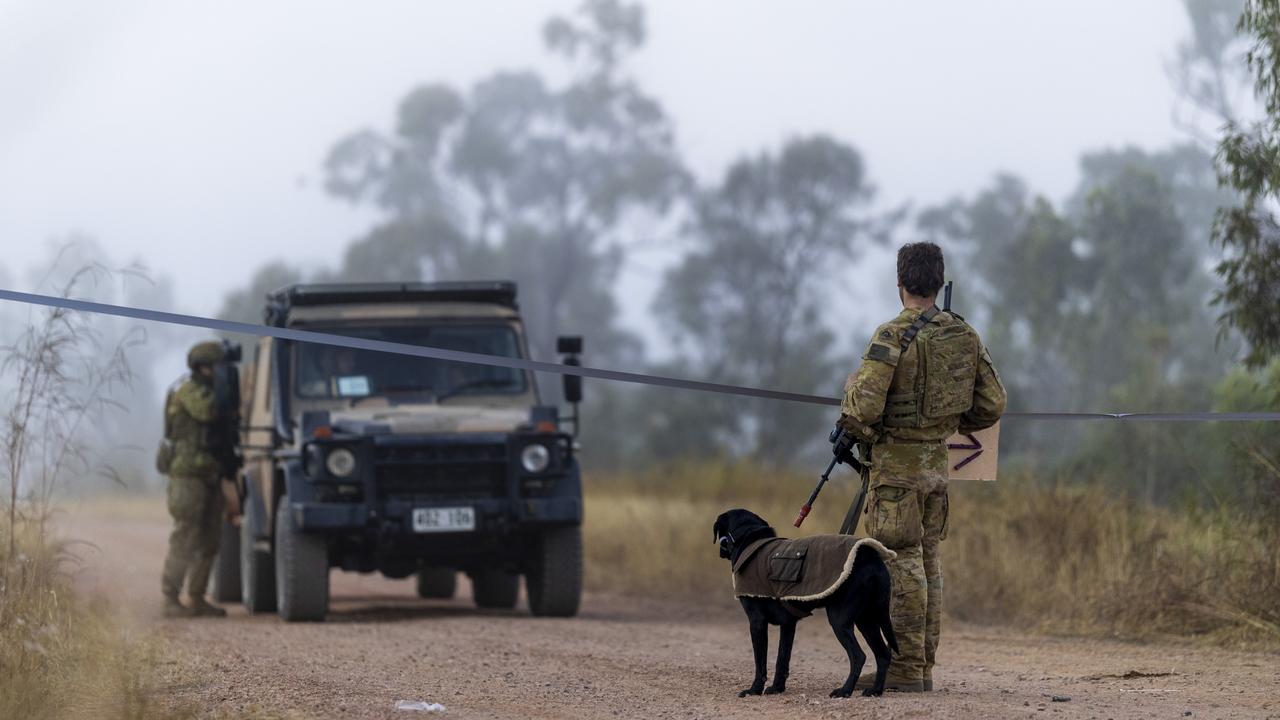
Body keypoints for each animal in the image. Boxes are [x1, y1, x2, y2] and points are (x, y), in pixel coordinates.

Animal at [711, 504, 901, 696]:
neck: (749, 538)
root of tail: (871, 557)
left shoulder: (756, 621)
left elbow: (760, 662)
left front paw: (754, 690)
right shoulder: (788, 624)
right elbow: (782, 658)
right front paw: (777, 688)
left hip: (839, 618)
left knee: (858, 656)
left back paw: (844, 691)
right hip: (867, 618)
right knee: (883, 654)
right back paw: (875, 690)